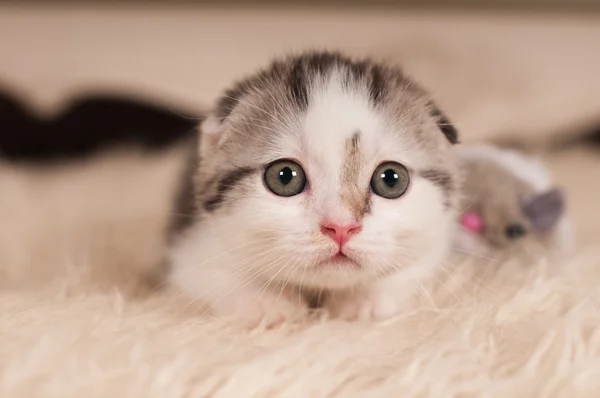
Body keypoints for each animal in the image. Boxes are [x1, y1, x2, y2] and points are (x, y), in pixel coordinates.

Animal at [168, 51, 460, 326]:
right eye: (285, 177)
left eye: (391, 179)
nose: (341, 227)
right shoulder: (191, 244)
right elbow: (207, 272)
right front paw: (266, 303)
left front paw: (364, 300)